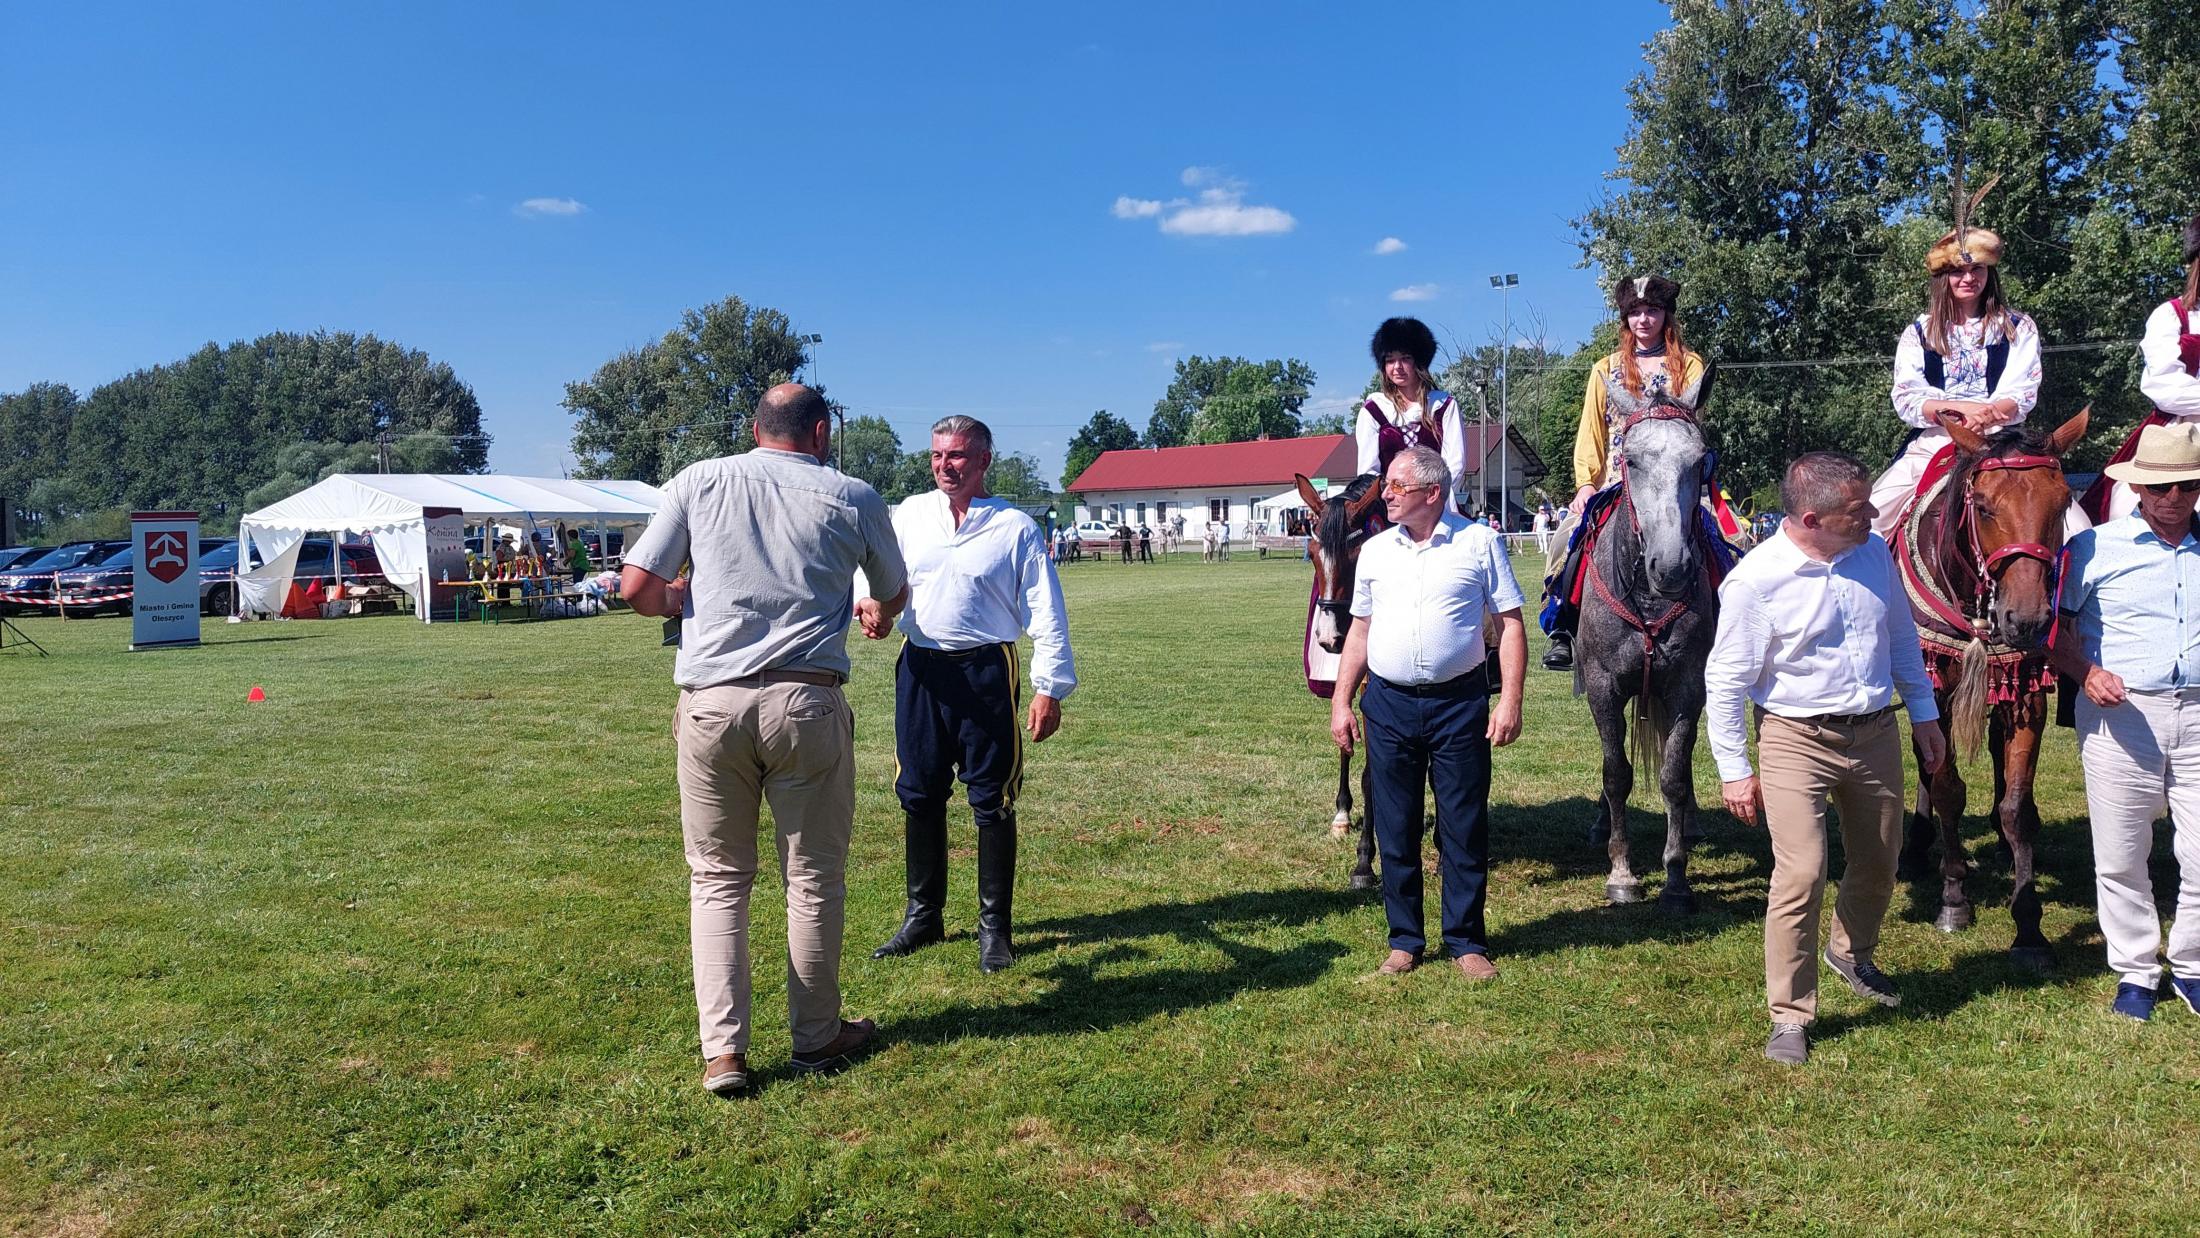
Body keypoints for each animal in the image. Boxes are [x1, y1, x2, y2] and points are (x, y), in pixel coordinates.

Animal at [1575, 401, 1722, 910]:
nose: (1673, 566)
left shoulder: (1686, 687)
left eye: (1699, 461)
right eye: (1632, 461)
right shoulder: (1602, 687)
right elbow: (1616, 773)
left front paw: (1676, 877)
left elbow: (1674, 775)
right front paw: (1621, 871)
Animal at [1891, 409, 2088, 969]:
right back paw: (1916, 848)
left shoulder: (2027, 689)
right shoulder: (1932, 688)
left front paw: (2029, 926)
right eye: (1982, 506)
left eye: (2062, 502)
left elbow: (2016, 807)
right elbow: (1947, 788)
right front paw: (1954, 898)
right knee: (1926, 765)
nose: (2026, 619)